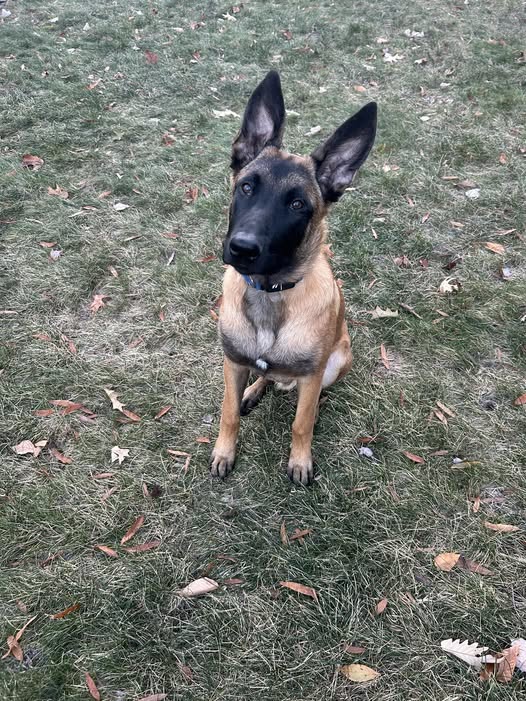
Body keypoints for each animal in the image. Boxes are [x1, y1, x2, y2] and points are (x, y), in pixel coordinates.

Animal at [210, 71, 377, 485]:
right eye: (246, 186)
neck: (271, 293)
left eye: (298, 204)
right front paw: (225, 451)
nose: (242, 248)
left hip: (337, 360)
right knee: (266, 376)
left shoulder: (313, 373)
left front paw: (300, 460)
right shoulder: (232, 362)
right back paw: (255, 390)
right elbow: (228, 413)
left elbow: (300, 424)